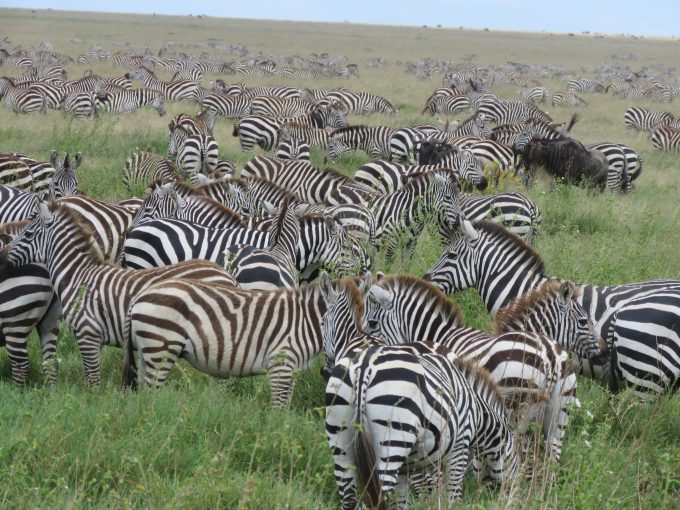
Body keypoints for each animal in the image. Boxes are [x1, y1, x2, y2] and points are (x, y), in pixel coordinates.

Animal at [1, 201, 237, 386]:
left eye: (28, 234)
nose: (2, 258)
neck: (78, 275)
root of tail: (226, 274)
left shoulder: (88, 332)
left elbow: (93, 382)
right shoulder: (94, 337)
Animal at [122, 276, 328, 406]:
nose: (325, 371)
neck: (306, 320)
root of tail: (139, 297)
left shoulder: (292, 369)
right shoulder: (281, 363)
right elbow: (279, 409)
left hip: (147, 350)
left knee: (142, 391)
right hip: (162, 348)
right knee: (151, 394)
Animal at [320, 275, 518, 508]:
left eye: (321, 322)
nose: (324, 371)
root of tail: (365, 367)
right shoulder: (456, 448)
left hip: (368, 442)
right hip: (367, 443)